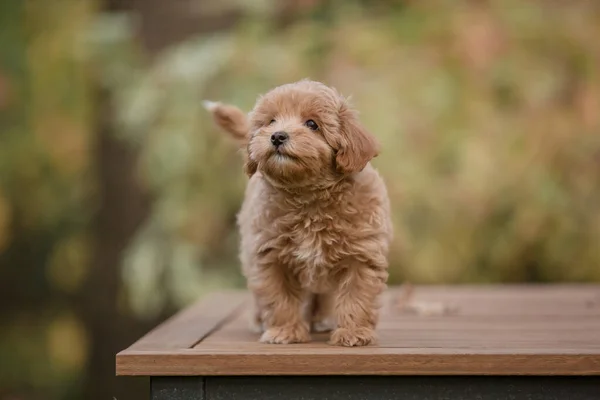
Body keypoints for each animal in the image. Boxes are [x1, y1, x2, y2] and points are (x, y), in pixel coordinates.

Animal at [205, 79, 394, 346]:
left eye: (312, 124)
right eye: (271, 121)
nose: (277, 135)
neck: (308, 198)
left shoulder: (362, 254)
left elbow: (356, 296)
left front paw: (353, 332)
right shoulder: (270, 257)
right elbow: (279, 298)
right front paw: (285, 331)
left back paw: (323, 319)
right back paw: (260, 321)